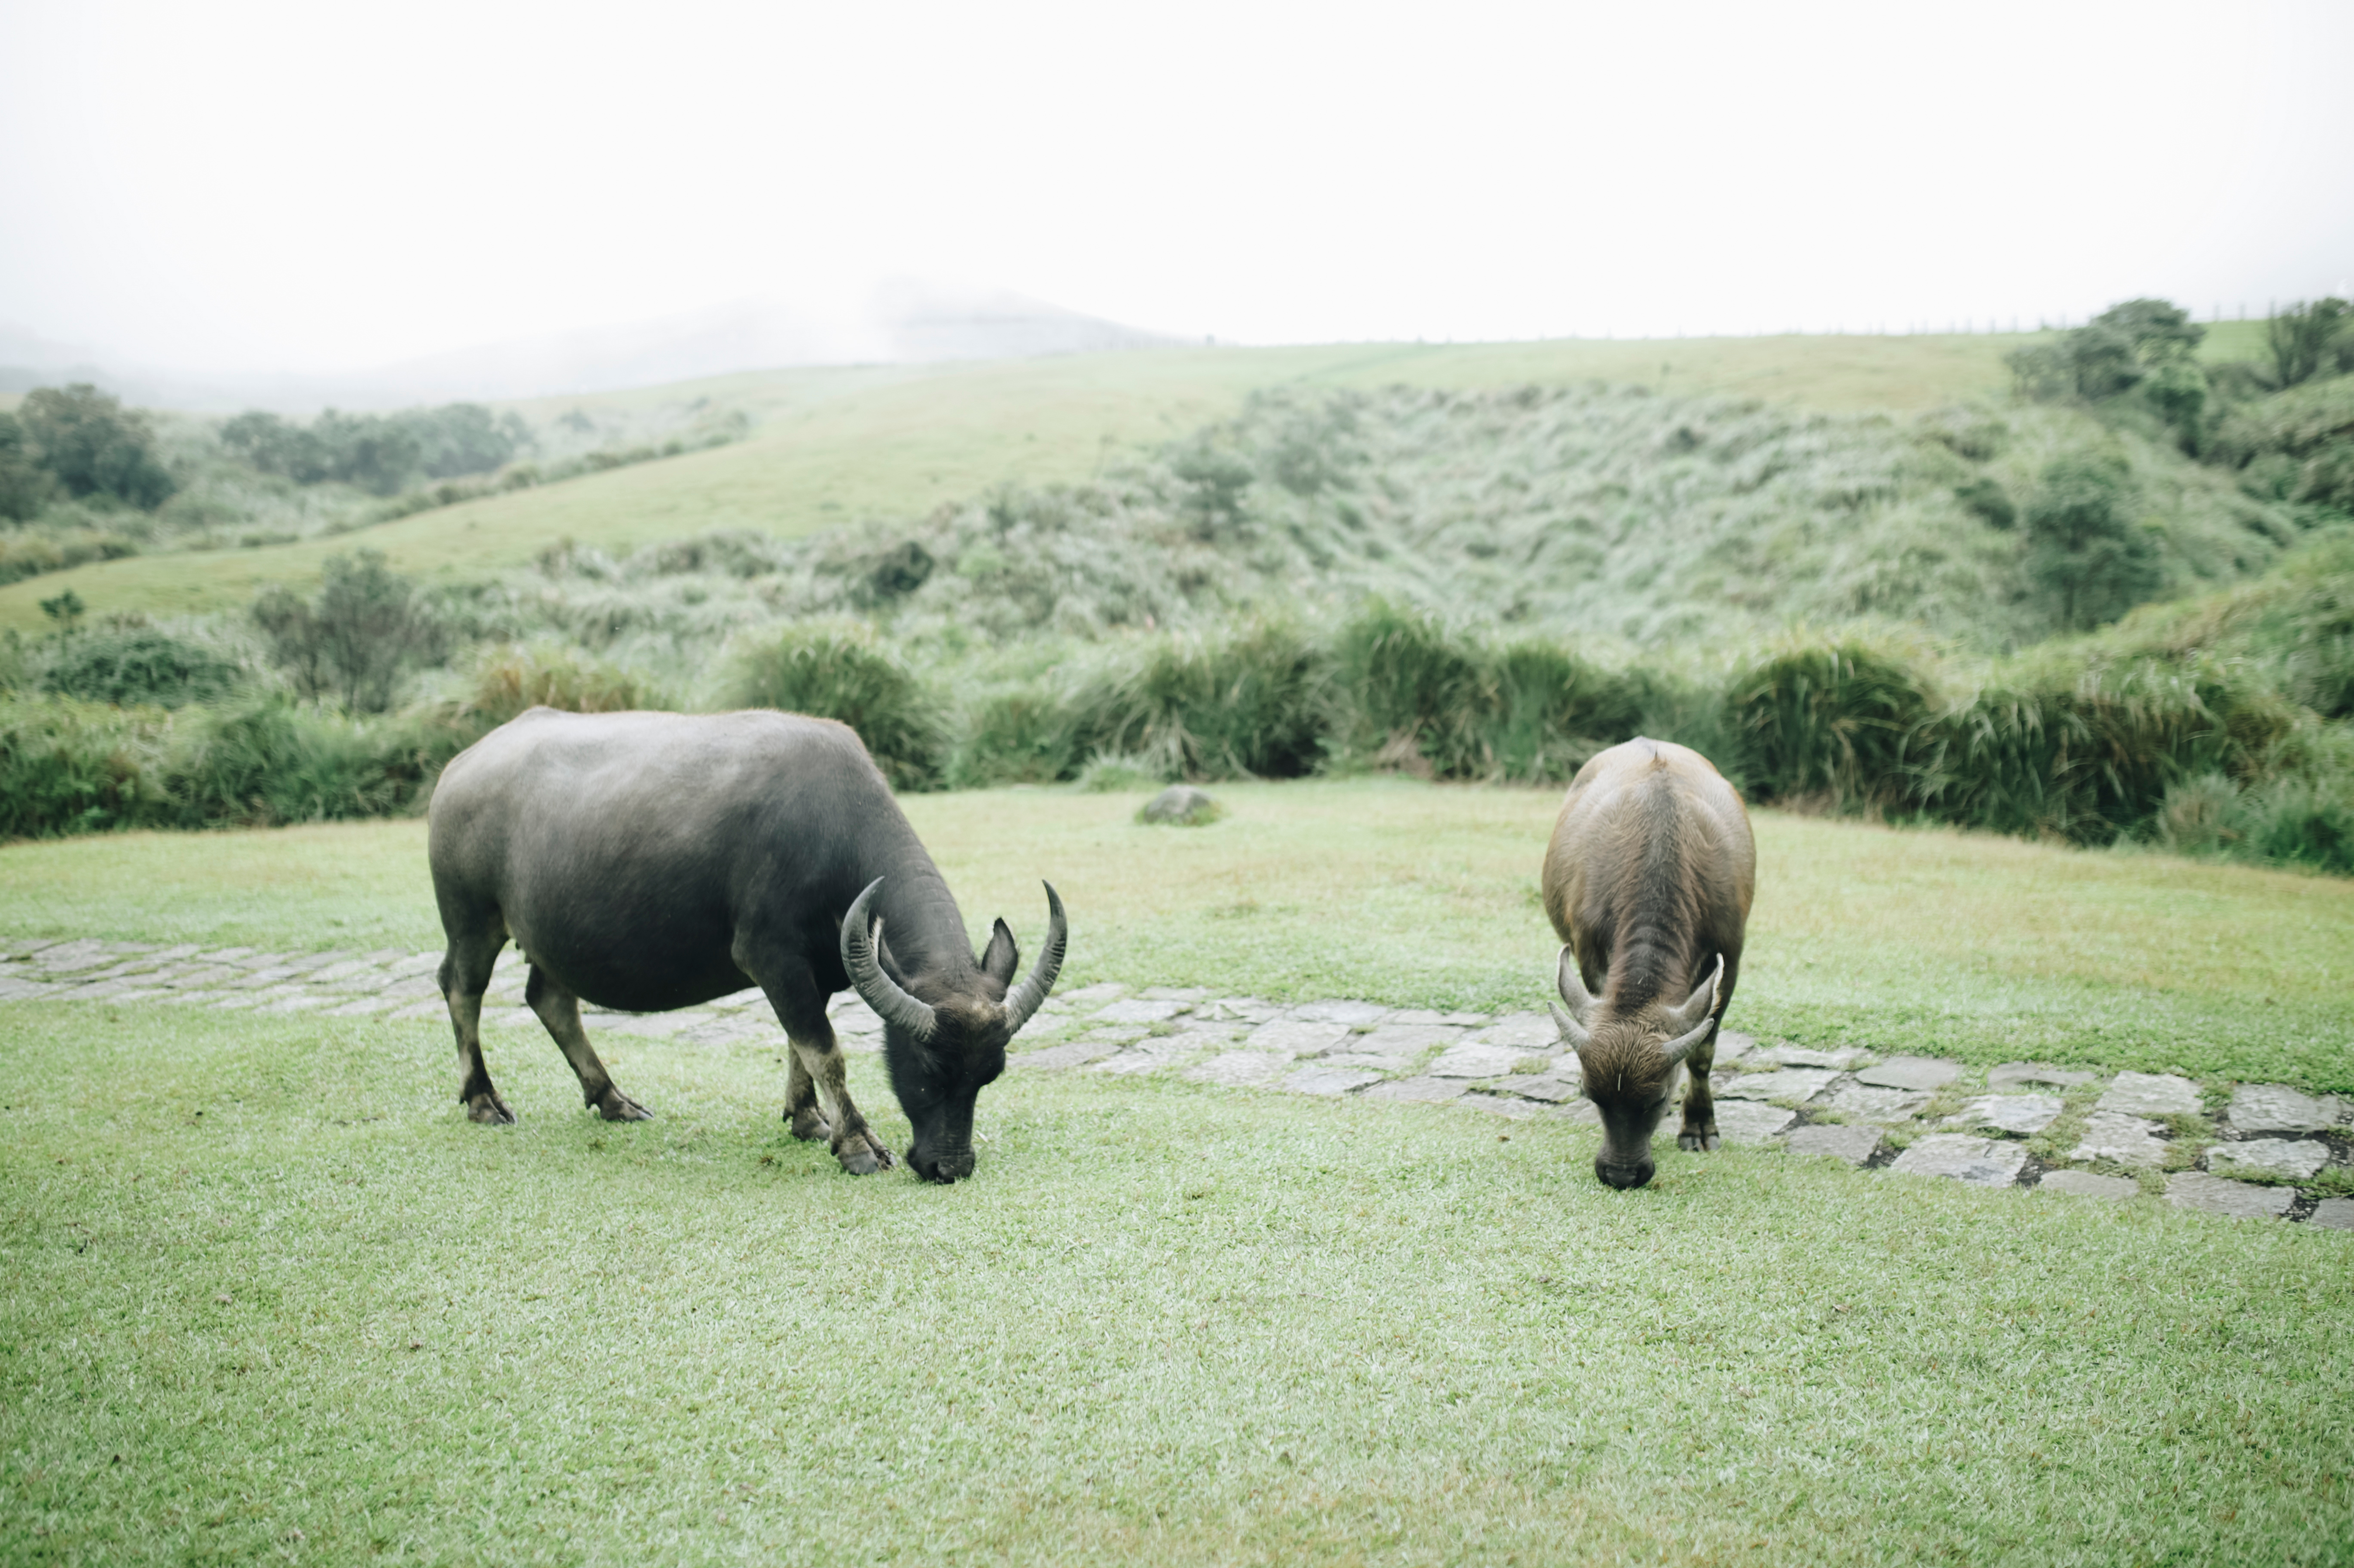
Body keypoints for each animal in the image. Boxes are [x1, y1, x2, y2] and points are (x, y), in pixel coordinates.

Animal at [428, 706, 1073, 1172]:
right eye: (926, 1066)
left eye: (990, 1074)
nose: (950, 1166)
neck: (832, 829)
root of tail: (458, 768)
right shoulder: (772, 956)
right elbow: (825, 1048)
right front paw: (857, 1143)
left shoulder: (822, 966)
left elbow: (799, 1044)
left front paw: (808, 1119)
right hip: (472, 919)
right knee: (462, 989)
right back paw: (483, 1100)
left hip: (553, 937)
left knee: (551, 1000)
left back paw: (612, 1097)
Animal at [1535, 735, 1761, 1187]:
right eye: (1591, 1093)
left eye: (1659, 1097)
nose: (1621, 1174)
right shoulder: (1589, 956)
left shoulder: (1731, 956)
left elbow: (1703, 1053)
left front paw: (1698, 1125)